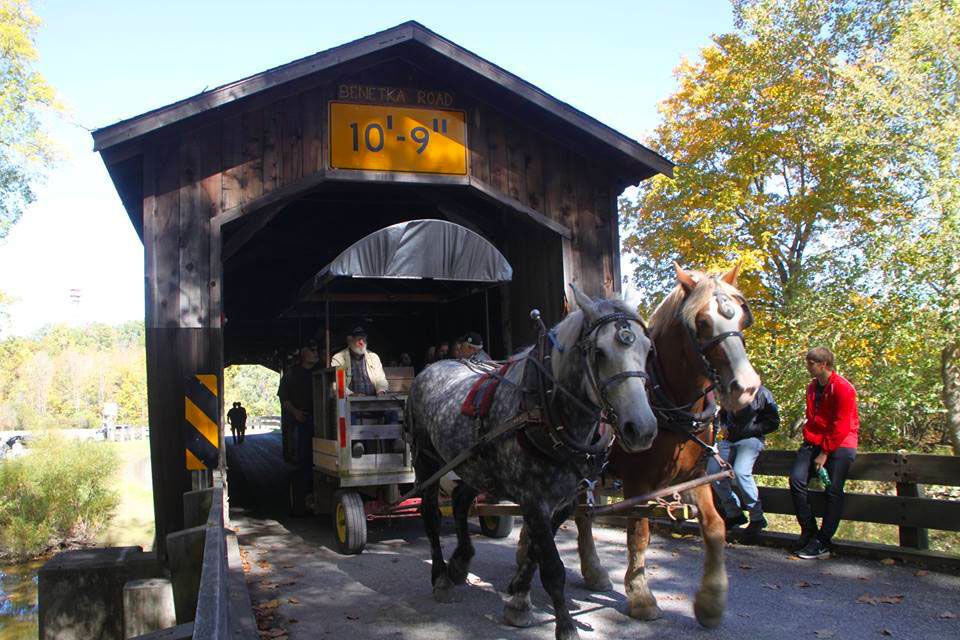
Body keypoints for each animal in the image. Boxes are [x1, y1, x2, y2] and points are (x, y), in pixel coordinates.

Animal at [404, 288, 660, 640]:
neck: (546, 409)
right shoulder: (534, 500)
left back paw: (460, 562)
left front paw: (518, 596)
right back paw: (442, 578)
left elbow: (537, 553)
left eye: (647, 349)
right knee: (429, 512)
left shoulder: (565, 500)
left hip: (474, 464)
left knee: (459, 500)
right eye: (599, 352)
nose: (642, 428)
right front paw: (563, 625)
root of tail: (431, 368)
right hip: (428, 461)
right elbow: (552, 567)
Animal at [572, 262, 760, 628]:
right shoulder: (638, 482)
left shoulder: (697, 476)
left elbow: (714, 528)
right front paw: (641, 597)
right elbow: (639, 534)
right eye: (701, 322)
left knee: (581, 514)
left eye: (742, 317)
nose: (745, 388)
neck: (668, 401)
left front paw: (711, 602)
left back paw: (594, 572)